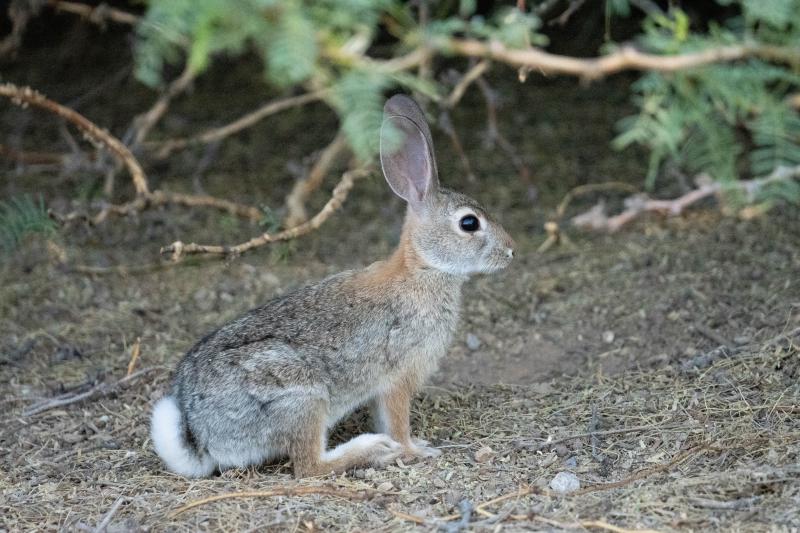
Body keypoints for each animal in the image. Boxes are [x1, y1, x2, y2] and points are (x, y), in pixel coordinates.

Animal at [151, 94, 515, 478]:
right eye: (469, 223)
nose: (511, 251)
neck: (422, 269)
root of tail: (203, 436)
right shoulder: (398, 377)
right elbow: (397, 423)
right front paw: (415, 450)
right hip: (301, 397)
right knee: (309, 466)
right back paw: (373, 450)